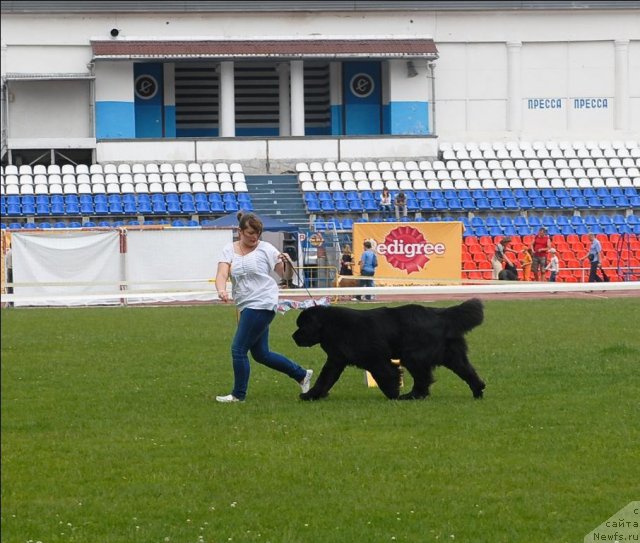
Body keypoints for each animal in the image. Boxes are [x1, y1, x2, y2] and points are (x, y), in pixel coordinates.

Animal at [292, 300, 484, 402]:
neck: (330, 326)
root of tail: (440, 314)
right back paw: (478, 391)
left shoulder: (376, 360)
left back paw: (411, 396)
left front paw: (393, 395)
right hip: (451, 355)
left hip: (413, 356)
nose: (293, 336)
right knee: (467, 371)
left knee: (423, 378)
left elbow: (387, 376)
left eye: (303, 326)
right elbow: (324, 379)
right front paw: (311, 395)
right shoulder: (336, 360)